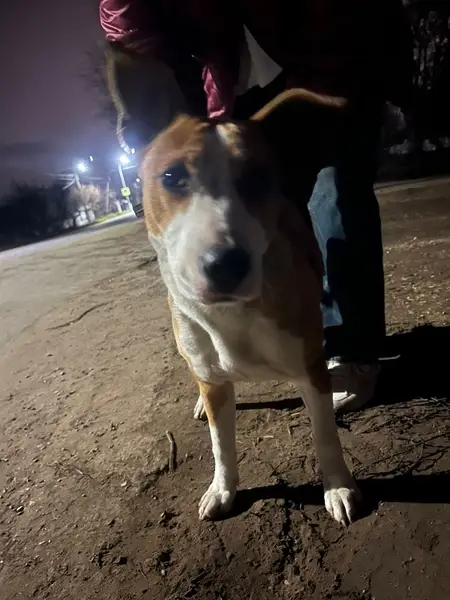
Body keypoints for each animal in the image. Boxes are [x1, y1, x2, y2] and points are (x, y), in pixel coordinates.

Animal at [140, 89, 361, 526]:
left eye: (258, 180)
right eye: (171, 177)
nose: (226, 264)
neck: (234, 313)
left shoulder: (310, 370)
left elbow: (325, 434)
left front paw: (337, 486)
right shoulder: (214, 382)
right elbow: (221, 444)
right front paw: (222, 489)